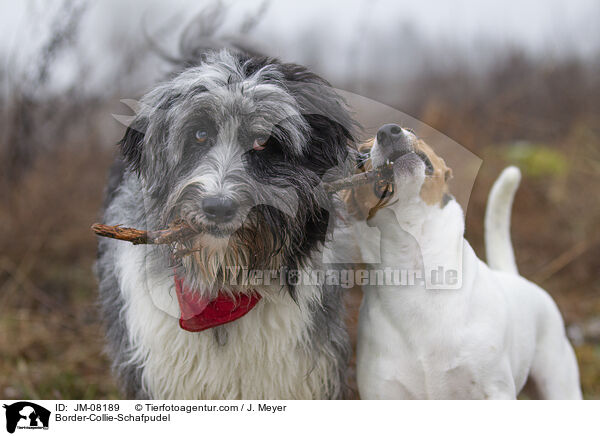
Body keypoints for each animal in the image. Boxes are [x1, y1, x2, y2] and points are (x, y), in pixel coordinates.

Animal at [352, 124, 580, 400]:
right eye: (359, 157)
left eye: (412, 130)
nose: (388, 130)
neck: (417, 273)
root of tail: (514, 276)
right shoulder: (382, 392)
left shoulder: (495, 390)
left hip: (559, 382)